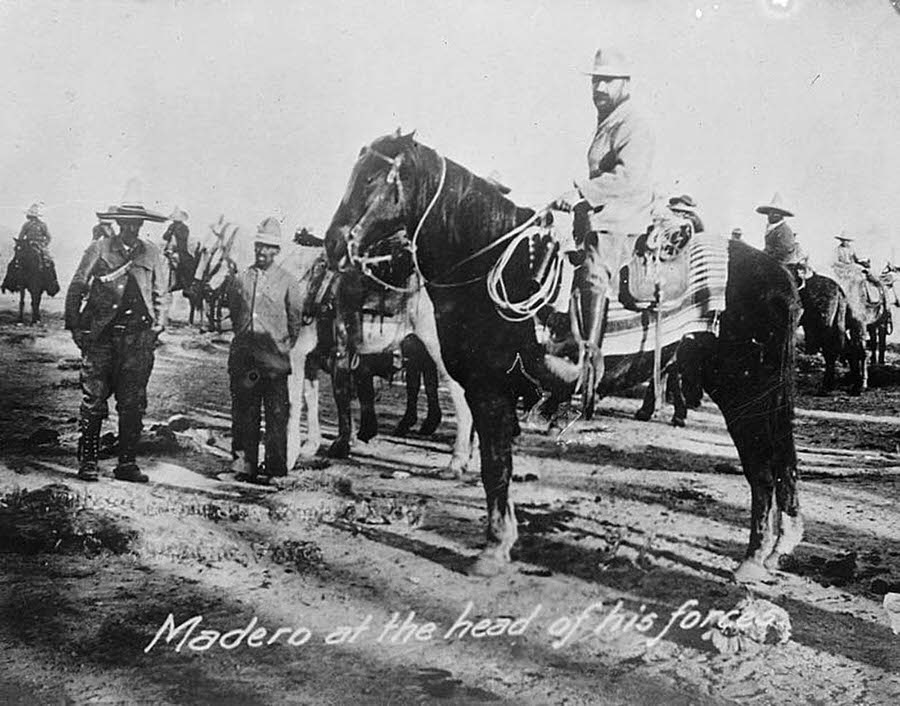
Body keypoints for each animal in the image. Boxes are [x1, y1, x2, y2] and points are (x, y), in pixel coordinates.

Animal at [326, 132, 804, 584]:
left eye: (371, 178)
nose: (333, 244)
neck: (489, 264)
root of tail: (781, 276)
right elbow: (497, 464)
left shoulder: (488, 390)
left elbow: (494, 468)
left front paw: (492, 550)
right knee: (778, 464)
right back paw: (775, 549)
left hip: (745, 393)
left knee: (762, 470)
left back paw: (753, 559)